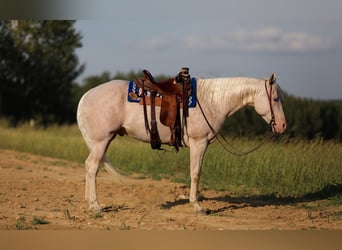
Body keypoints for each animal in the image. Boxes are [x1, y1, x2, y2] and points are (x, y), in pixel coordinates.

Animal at [77, 72, 286, 213]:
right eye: (275, 98)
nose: (283, 125)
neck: (212, 101)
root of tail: (86, 96)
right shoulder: (198, 143)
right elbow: (195, 173)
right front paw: (197, 206)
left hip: (101, 142)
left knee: (90, 166)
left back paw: (89, 201)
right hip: (101, 141)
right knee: (92, 167)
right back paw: (95, 206)